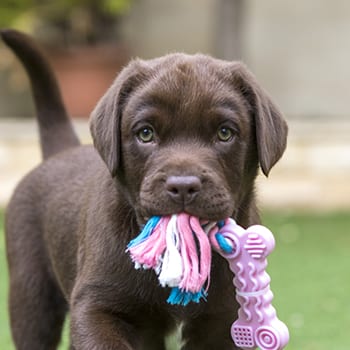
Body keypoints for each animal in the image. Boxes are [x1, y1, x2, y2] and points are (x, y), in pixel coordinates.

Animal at [2, 30, 288, 350]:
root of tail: (62, 151)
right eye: (146, 133)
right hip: (31, 295)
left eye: (225, 133)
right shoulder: (95, 305)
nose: (183, 186)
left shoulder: (224, 321)